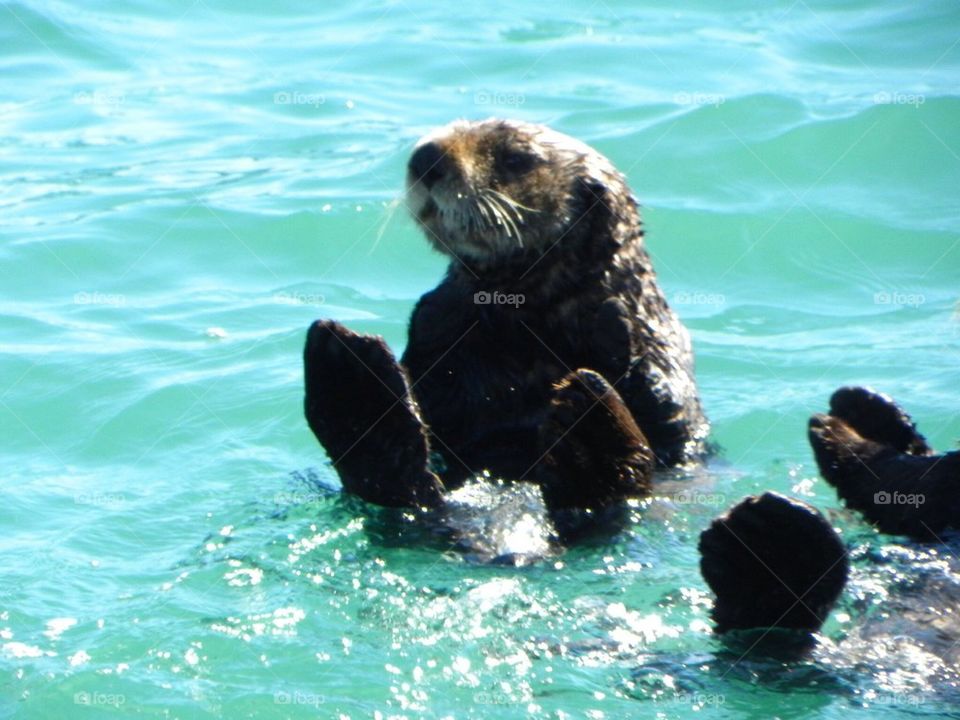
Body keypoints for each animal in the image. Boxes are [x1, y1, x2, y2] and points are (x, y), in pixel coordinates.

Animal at [303, 118, 709, 527]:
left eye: (515, 158)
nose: (426, 156)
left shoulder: (662, 343)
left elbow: (667, 412)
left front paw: (611, 321)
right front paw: (429, 311)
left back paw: (590, 423)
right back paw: (350, 375)